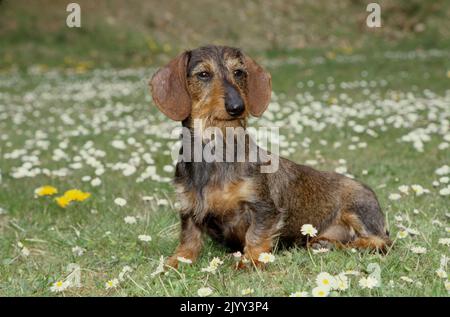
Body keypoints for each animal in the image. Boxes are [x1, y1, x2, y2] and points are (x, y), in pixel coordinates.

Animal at [149, 44, 390, 266]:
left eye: (239, 72)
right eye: (204, 74)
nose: (237, 107)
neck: (216, 150)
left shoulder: (264, 208)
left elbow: (255, 236)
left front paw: (250, 261)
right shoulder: (189, 209)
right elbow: (188, 240)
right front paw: (173, 262)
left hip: (358, 210)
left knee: (382, 242)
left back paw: (354, 245)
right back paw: (326, 243)